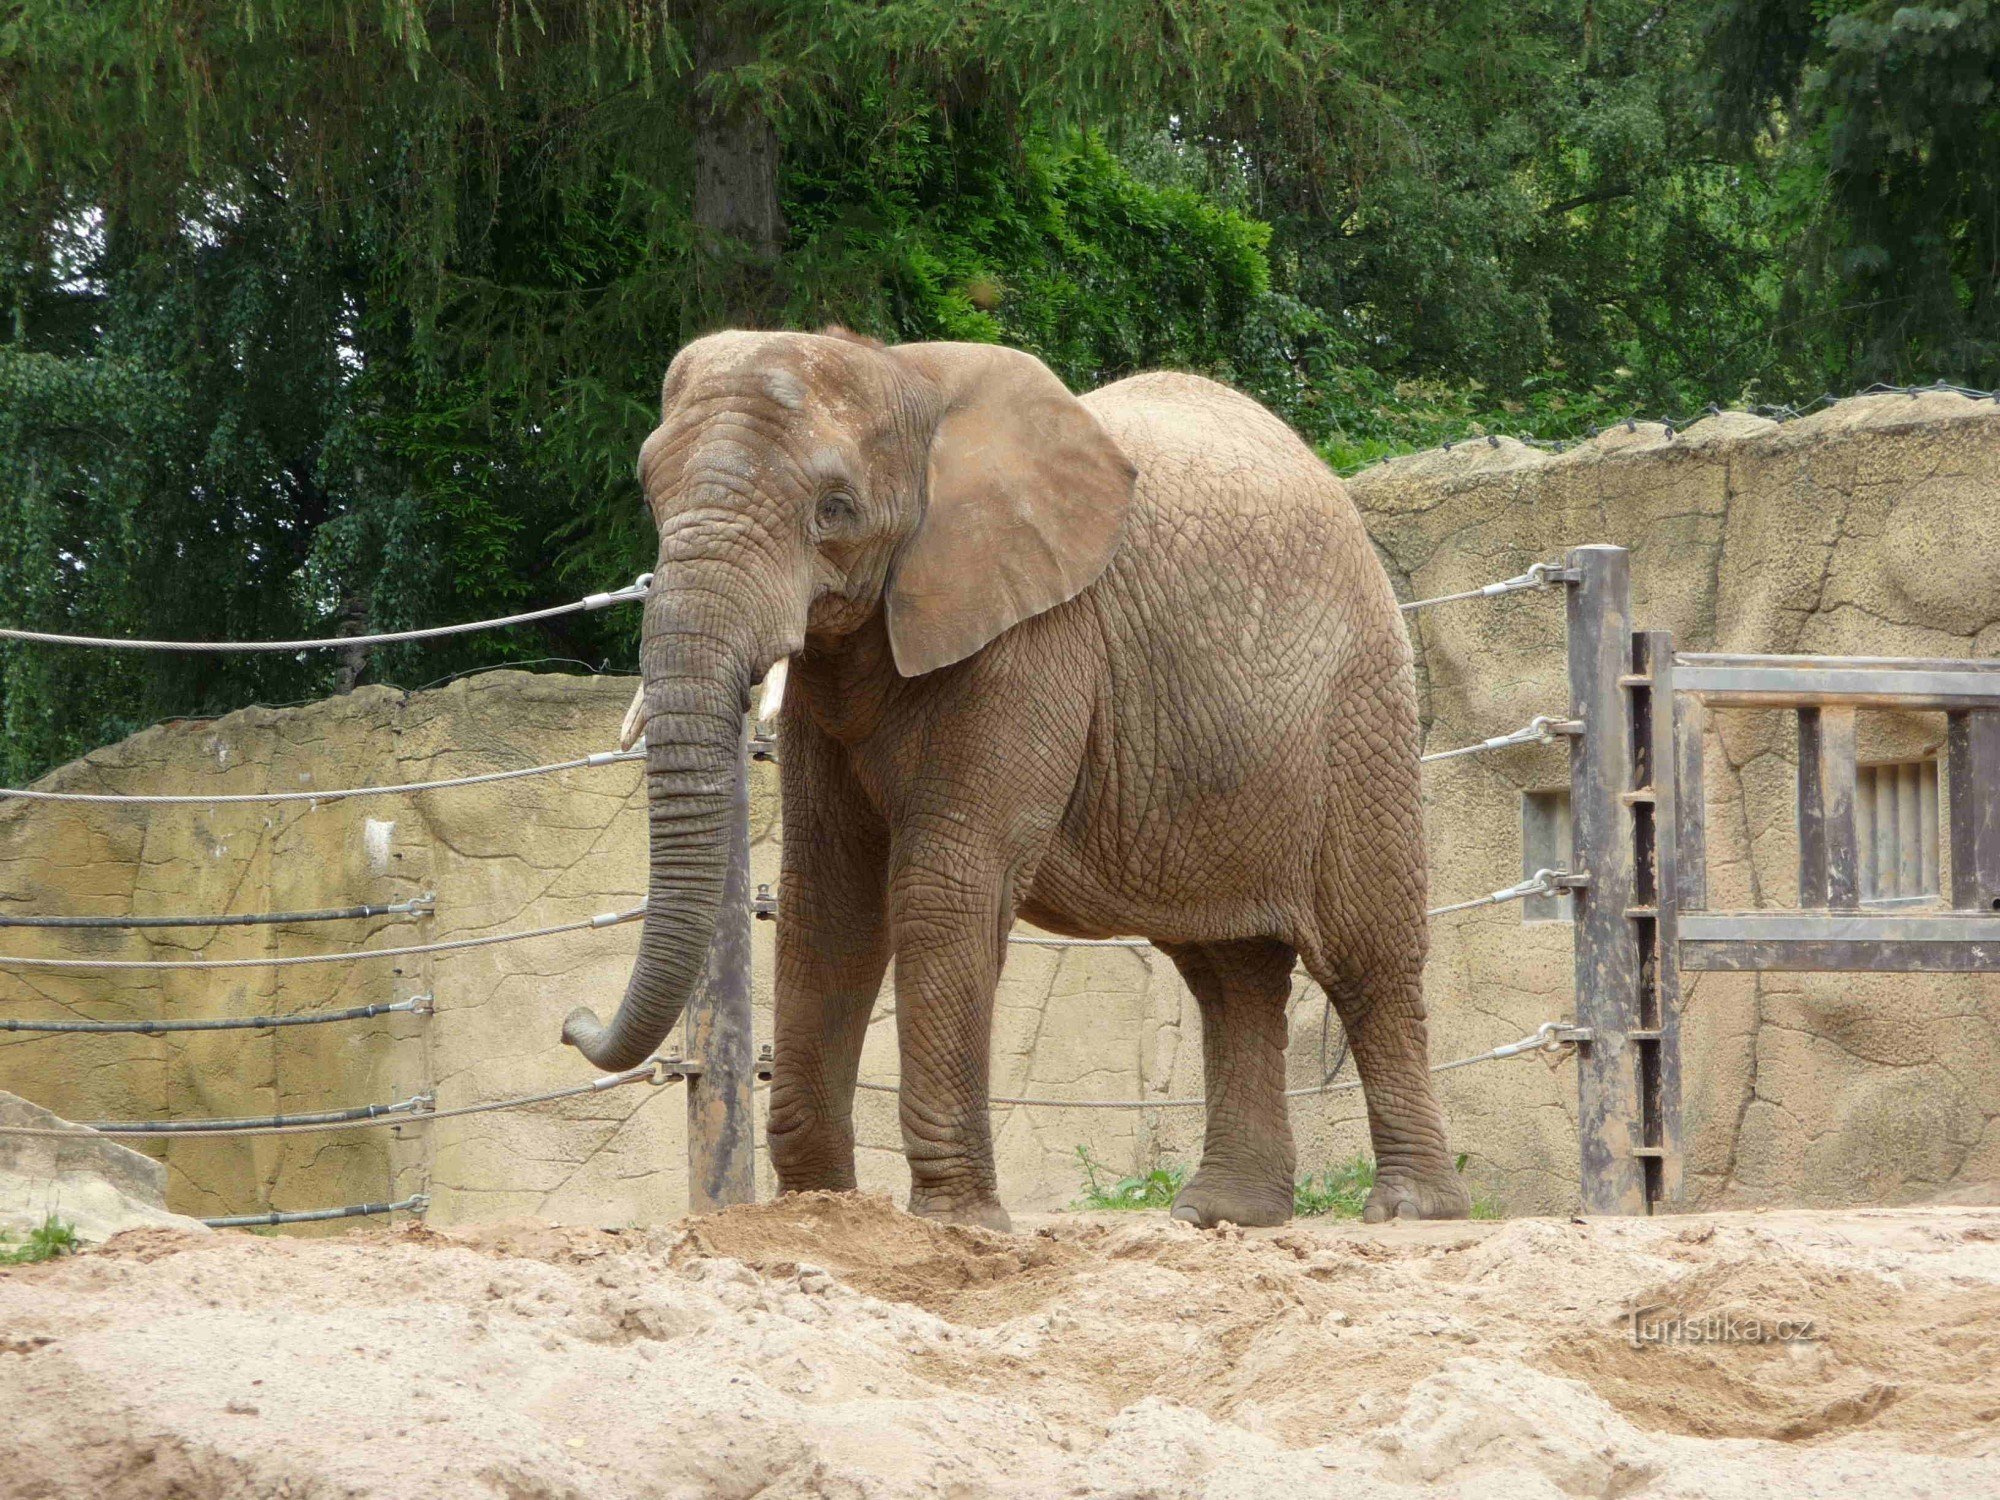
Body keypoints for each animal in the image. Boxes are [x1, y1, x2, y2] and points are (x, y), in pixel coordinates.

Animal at [564, 328, 1472, 1232]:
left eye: (835, 509)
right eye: (649, 491)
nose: (573, 1022)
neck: (901, 373)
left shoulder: (1034, 632)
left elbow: (944, 884)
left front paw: (956, 1224)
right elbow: (828, 894)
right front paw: (822, 1213)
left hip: (1361, 706)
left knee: (1366, 956)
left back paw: (1409, 1210)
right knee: (1227, 972)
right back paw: (1223, 1215)